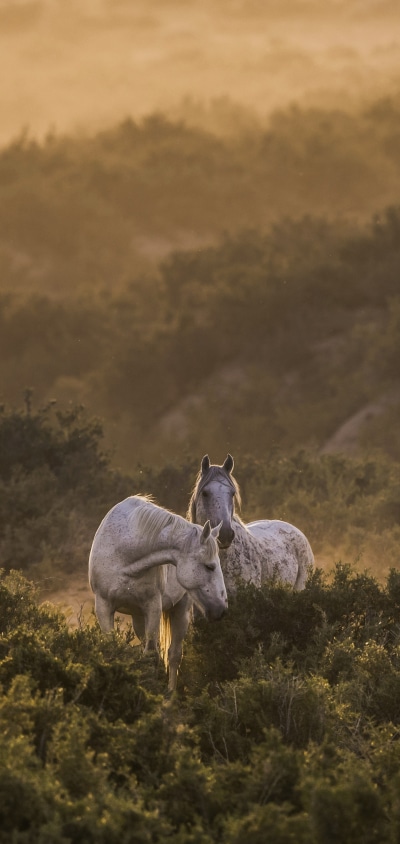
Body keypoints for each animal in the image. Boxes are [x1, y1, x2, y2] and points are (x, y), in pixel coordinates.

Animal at [89, 494, 227, 693]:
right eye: (209, 566)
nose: (221, 609)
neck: (124, 557)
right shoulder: (103, 606)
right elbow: (113, 651)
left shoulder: (153, 607)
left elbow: (151, 656)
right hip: (138, 616)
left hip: (181, 612)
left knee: (174, 654)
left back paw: (170, 694)